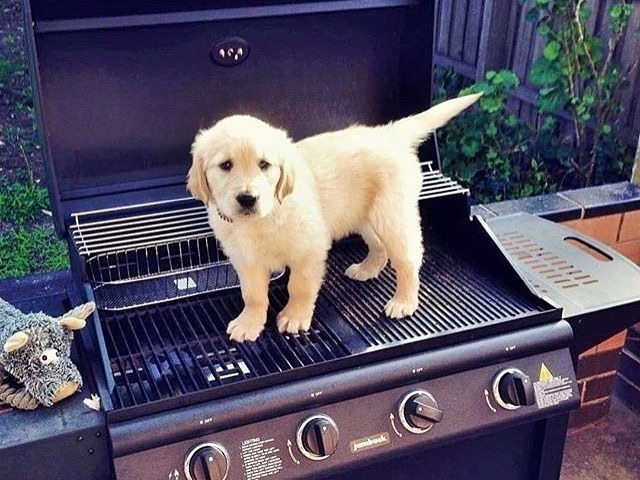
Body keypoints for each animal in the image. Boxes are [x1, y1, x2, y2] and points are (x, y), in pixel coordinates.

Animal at [188, 93, 482, 342]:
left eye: (264, 165)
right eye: (226, 165)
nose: (248, 199)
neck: (264, 218)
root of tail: (387, 133)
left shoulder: (309, 250)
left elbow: (299, 286)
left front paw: (294, 316)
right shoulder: (247, 260)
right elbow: (253, 295)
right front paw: (249, 323)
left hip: (392, 215)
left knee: (408, 259)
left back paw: (404, 302)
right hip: (364, 215)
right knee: (378, 247)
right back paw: (366, 270)